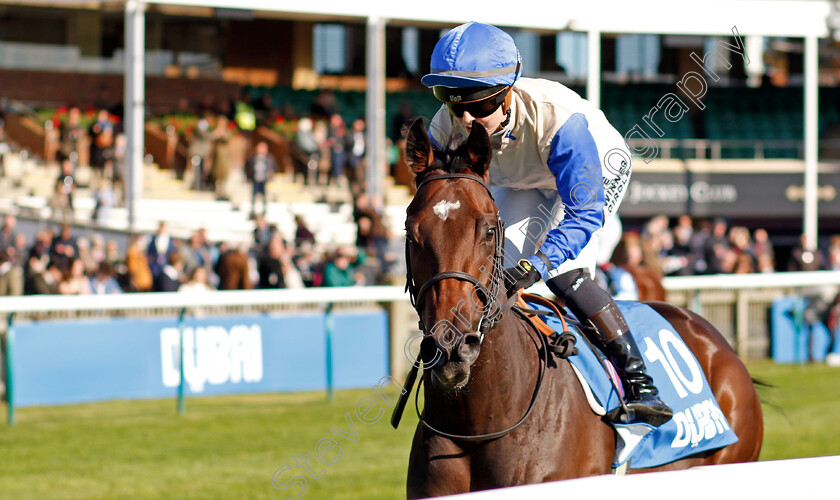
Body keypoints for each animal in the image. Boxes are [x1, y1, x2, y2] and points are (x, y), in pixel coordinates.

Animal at [404, 119, 764, 498]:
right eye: (411, 233)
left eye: (488, 230)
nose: (451, 347)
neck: (477, 426)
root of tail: (717, 343)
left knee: (572, 275)